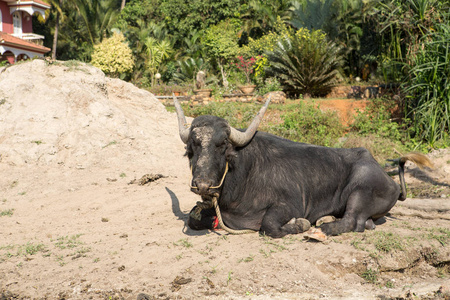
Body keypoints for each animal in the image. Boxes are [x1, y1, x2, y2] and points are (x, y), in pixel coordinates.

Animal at [175, 97, 432, 238]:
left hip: (361, 189)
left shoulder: (289, 205)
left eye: (222, 146)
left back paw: (321, 228)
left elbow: (269, 225)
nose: (203, 185)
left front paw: (299, 224)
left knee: (352, 221)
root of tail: (390, 181)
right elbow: (193, 218)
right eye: (192, 148)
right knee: (364, 223)